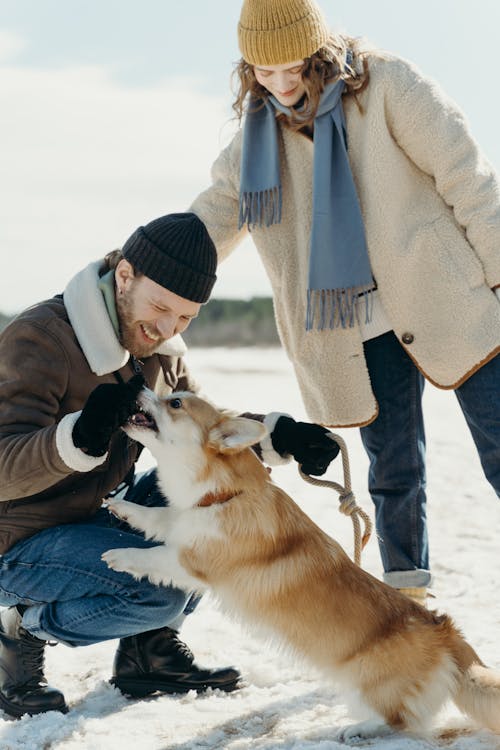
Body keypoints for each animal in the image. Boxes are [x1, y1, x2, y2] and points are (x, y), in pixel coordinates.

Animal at [101, 390, 500, 744]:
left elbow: (152, 556)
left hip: (368, 682)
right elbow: (159, 517)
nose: (137, 385)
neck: (224, 494)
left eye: (175, 402)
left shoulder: (194, 561)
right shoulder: (182, 523)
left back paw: (358, 729)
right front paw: (124, 508)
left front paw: (118, 556)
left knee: (401, 720)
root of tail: (446, 632)